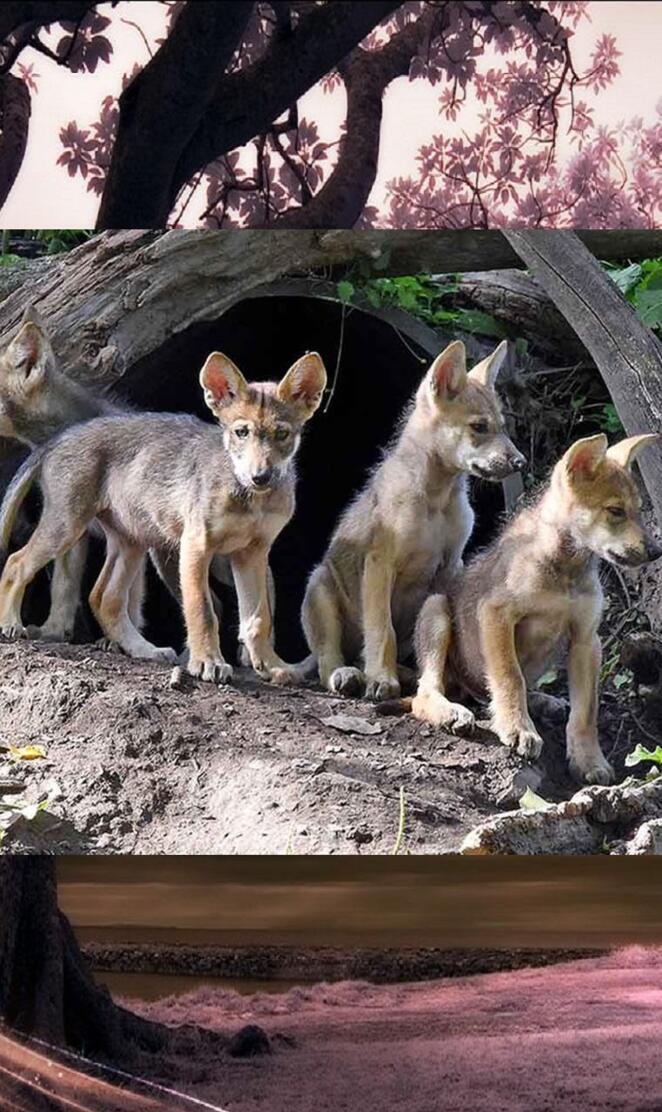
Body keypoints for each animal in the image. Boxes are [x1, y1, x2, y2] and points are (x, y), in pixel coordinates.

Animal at [0, 349, 326, 683]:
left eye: (282, 434)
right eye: (241, 432)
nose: (260, 477)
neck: (250, 498)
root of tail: (58, 438)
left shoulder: (252, 553)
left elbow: (258, 619)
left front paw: (272, 666)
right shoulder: (196, 546)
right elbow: (203, 612)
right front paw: (208, 662)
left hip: (131, 543)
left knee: (104, 598)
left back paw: (147, 651)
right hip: (69, 527)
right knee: (17, 563)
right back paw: (10, 625)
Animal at [300, 339, 526, 700]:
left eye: (503, 427)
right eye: (479, 427)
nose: (521, 462)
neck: (436, 499)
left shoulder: (450, 565)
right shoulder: (380, 563)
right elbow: (382, 630)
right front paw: (381, 678)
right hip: (320, 588)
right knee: (327, 659)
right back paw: (348, 674)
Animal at [411, 432, 662, 784]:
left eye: (638, 510)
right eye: (615, 510)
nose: (656, 552)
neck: (566, 569)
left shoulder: (587, 640)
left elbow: (586, 712)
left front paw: (588, 760)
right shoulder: (495, 614)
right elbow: (509, 677)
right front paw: (518, 729)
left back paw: (543, 702)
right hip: (436, 612)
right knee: (424, 691)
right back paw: (451, 712)